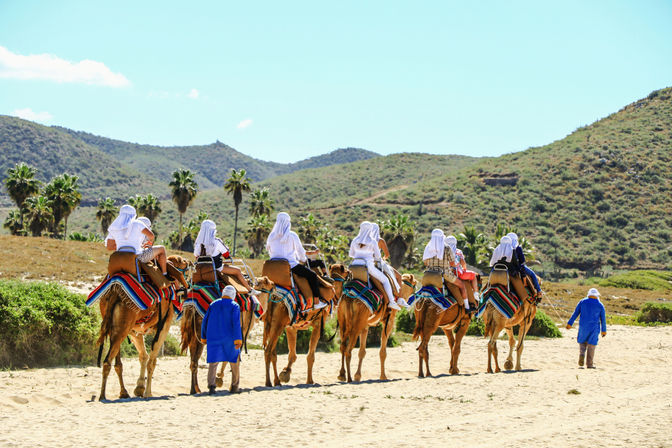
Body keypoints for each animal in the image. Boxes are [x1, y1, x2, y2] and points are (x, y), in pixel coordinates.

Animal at [94, 256, 189, 400]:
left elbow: (143, 356)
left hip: (114, 323)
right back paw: (103, 396)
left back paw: (123, 392)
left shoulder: (135, 331)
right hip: (123, 324)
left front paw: (139, 388)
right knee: (107, 361)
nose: (190, 262)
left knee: (117, 362)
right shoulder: (164, 324)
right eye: (183, 262)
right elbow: (152, 360)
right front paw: (147, 392)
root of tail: (115, 292)